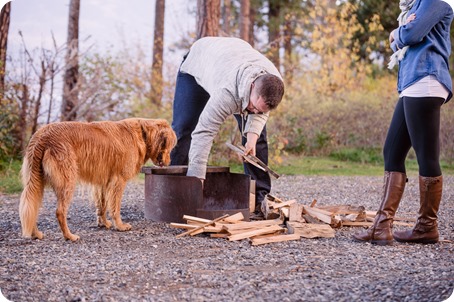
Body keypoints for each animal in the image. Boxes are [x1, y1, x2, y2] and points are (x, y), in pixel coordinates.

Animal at [19, 117, 176, 241]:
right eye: (170, 146)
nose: (169, 162)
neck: (142, 134)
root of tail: (43, 135)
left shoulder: (103, 182)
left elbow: (102, 205)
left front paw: (104, 223)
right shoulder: (118, 180)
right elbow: (115, 207)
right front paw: (120, 225)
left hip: (36, 181)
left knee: (32, 207)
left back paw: (36, 234)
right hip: (67, 181)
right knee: (60, 211)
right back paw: (69, 236)